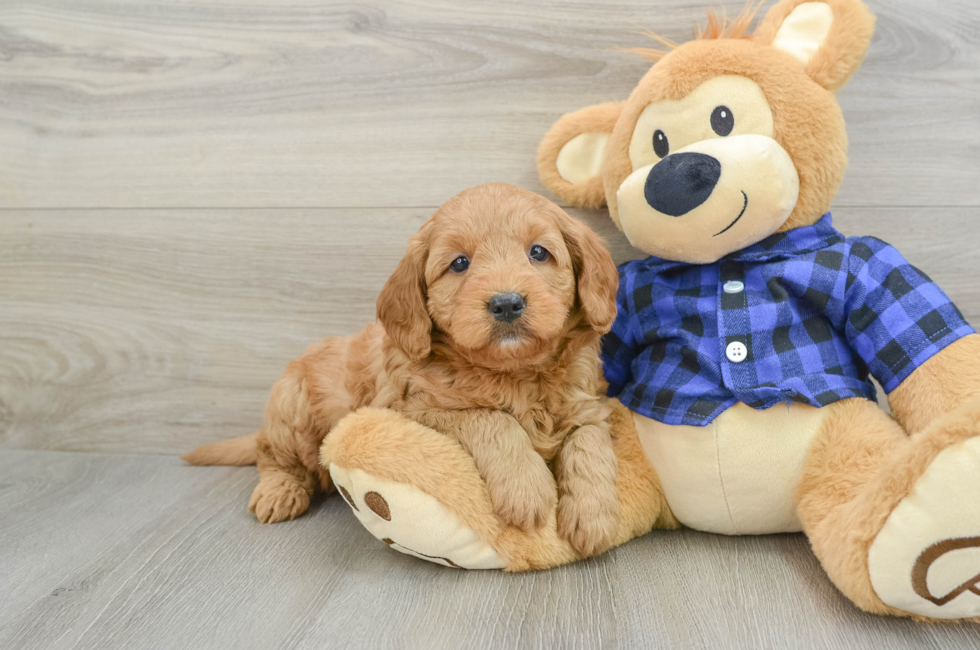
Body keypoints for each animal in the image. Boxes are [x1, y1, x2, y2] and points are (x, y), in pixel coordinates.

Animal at [186, 184, 620, 556]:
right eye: (459, 263)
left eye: (539, 253)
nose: (507, 303)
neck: (515, 374)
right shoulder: (414, 409)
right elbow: (490, 418)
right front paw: (527, 488)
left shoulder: (587, 402)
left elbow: (590, 441)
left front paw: (594, 515)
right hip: (293, 411)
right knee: (271, 454)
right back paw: (279, 492)